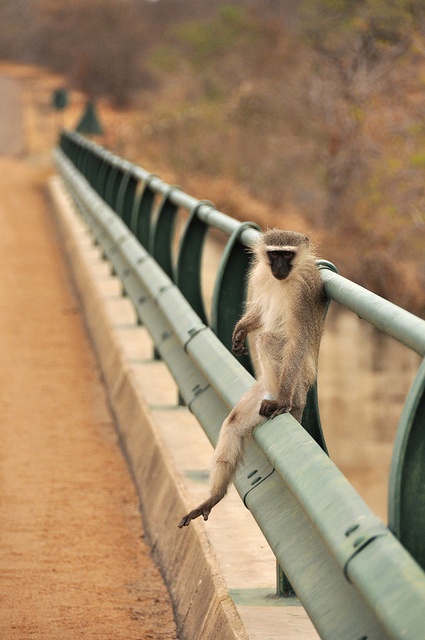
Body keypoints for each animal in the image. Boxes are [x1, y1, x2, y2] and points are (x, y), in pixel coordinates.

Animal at [178, 230, 326, 528]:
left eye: (287, 254)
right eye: (274, 254)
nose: (279, 267)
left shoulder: (304, 291)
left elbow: (298, 339)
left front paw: (282, 401)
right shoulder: (260, 275)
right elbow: (258, 312)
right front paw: (240, 330)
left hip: (299, 377)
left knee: (269, 341)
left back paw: (283, 401)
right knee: (235, 422)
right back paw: (214, 497)